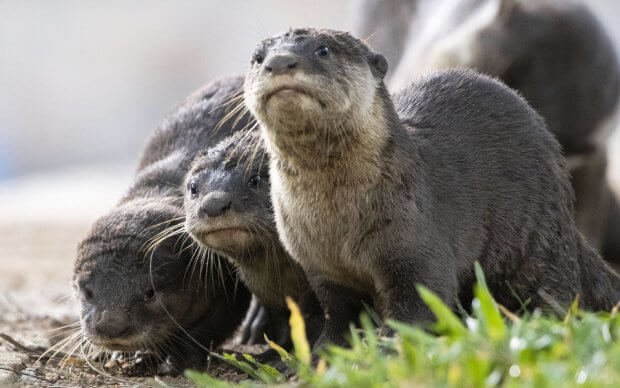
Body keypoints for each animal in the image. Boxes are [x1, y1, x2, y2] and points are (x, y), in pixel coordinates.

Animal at [74, 76, 253, 372]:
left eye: (149, 293)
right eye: (88, 291)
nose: (111, 327)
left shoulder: (227, 282)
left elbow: (209, 329)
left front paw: (170, 358)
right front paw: (119, 354)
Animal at [184, 130, 324, 352]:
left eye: (255, 179)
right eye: (193, 187)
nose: (214, 205)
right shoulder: (267, 295)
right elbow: (281, 323)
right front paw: (274, 352)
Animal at [242, 28, 620, 348]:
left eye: (323, 50)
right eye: (257, 57)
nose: (280, 62)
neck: (337, 223)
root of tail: (568, 219)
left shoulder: (415, 247)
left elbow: (420, 305)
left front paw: (390, 345)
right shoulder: (322, 269)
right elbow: (338, 314)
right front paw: (324, 353)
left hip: (537, 244)